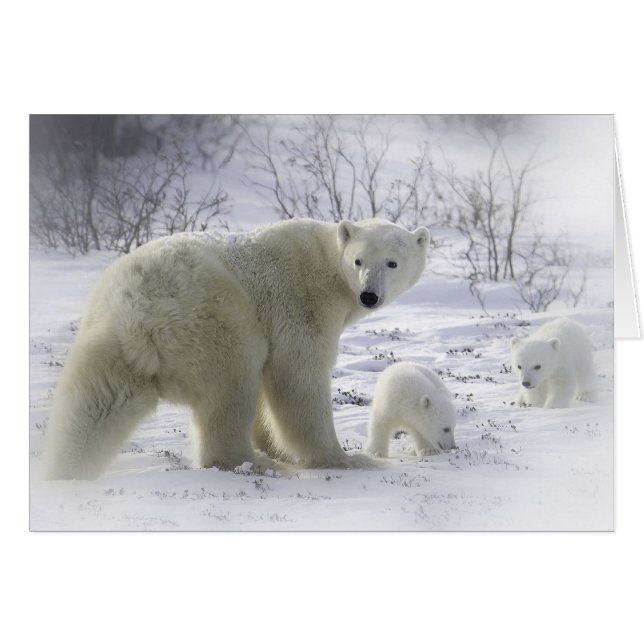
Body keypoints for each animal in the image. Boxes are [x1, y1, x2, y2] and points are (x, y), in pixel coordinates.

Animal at [44, 218, 430, 479]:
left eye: (392, 262)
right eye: (359, 261)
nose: (369, 295)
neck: (326, 262)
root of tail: (137, 316)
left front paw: (274, 444)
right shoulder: (299, 302)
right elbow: (297, 375)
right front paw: (343, 458)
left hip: (106, 341)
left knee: (92, 407)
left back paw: (62, 472)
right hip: (216, 318)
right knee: (233, 383)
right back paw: (256, 463)